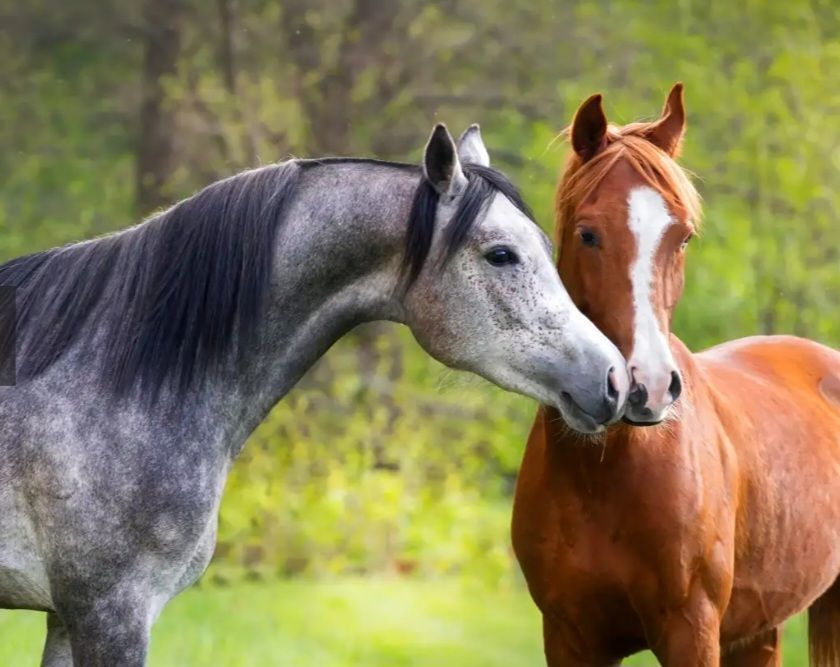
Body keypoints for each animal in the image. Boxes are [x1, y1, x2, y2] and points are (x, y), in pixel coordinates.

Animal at [508, 85, 840, 667]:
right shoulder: (569, 636)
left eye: (682, 238)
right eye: (588, 235)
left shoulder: (691, 631)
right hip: (759, 630)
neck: (603, 475)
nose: (650, 388)